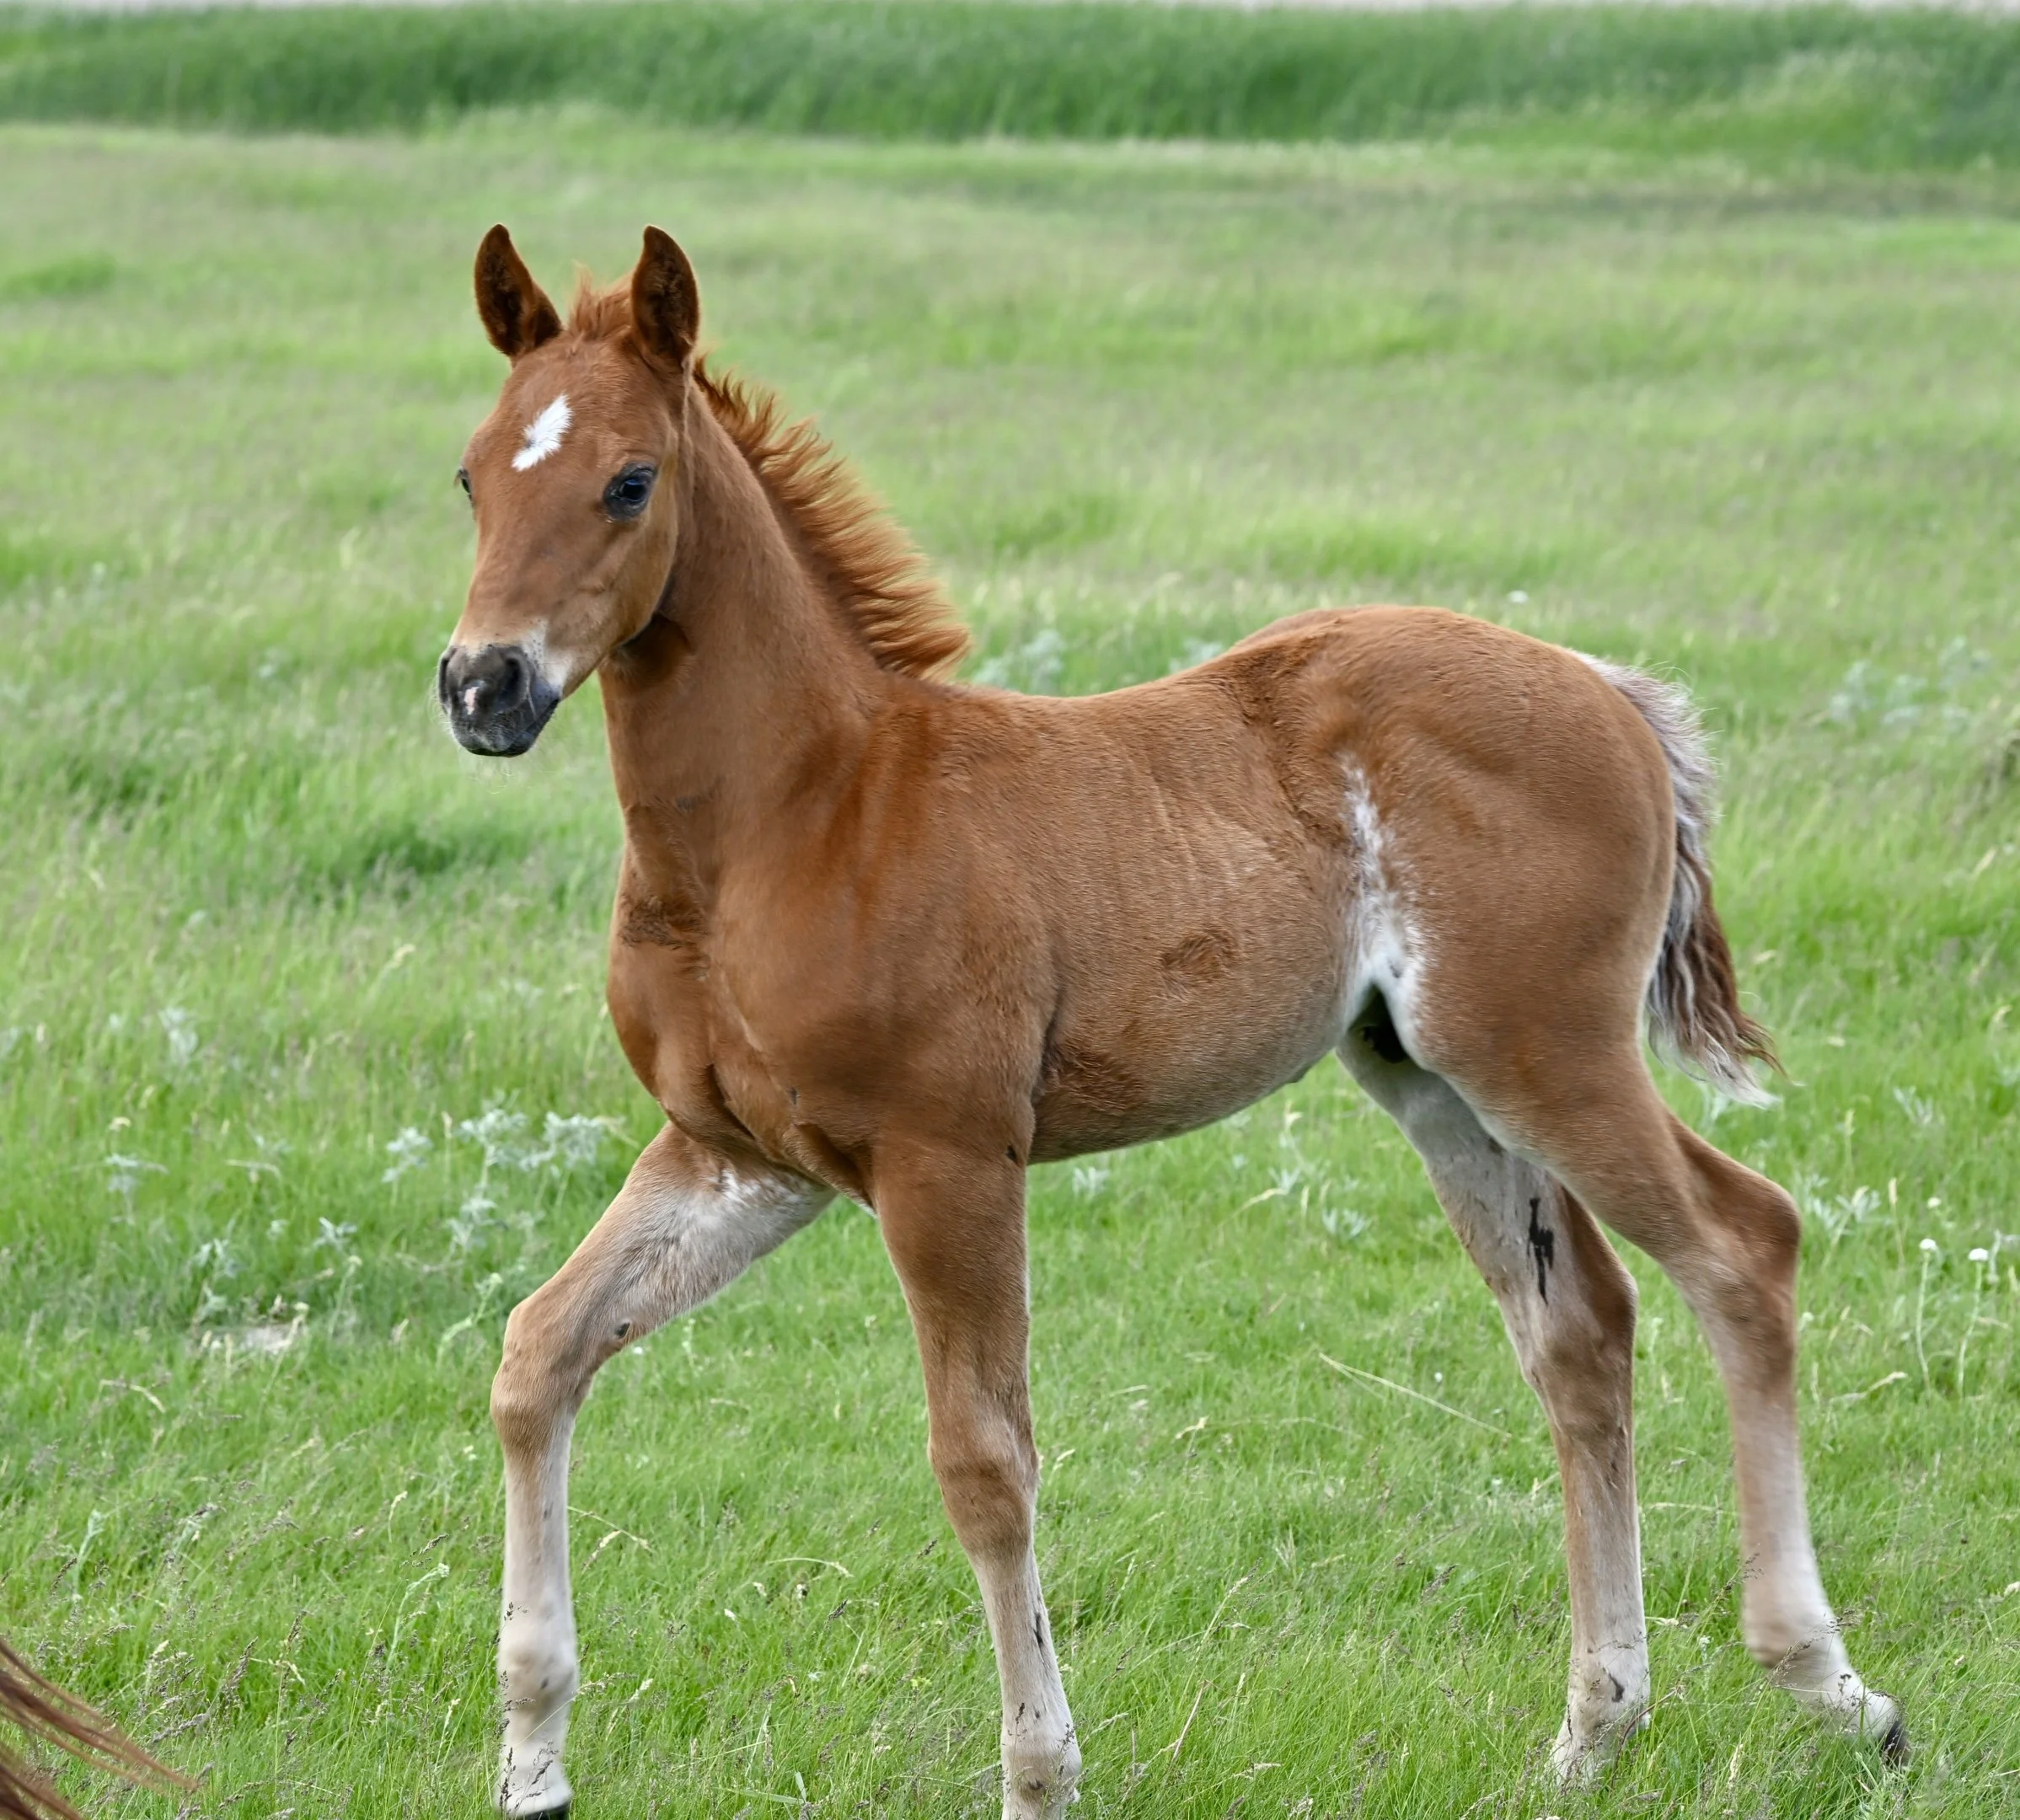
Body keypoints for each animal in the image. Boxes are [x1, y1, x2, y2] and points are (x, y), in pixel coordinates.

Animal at [438, 224, 1903, 1818]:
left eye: (629, 482)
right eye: (471, 475)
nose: (483, 685)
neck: (796, 814)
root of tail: (1607, 688)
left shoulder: (947, 1160)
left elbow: (983, 1462)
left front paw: (1039, 1774)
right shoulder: (738, 1157)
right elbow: (537, 1355)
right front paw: (530, 1758)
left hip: (1546, 1052)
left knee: (1742, 1246)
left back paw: (1833, 1688)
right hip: (1433, 1078)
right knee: (1579, 1329)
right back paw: (1594, 1730)